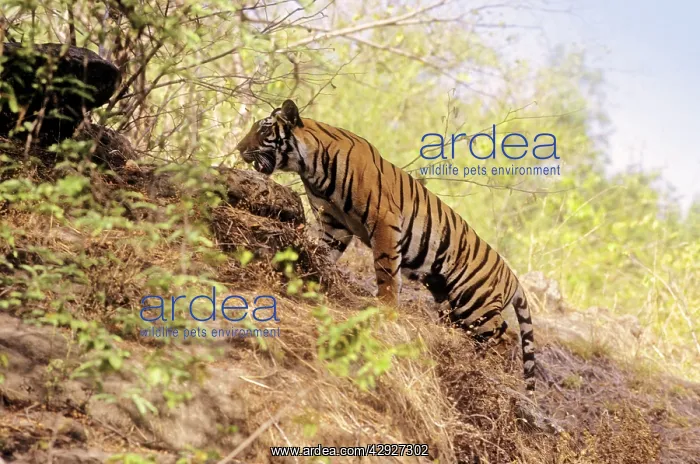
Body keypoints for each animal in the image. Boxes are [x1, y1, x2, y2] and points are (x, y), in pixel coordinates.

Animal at [235, 100, 536, 391]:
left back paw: (483, 365)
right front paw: (312, 271)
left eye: (263, 130)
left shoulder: (383, 221)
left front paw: (384, 307)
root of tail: (513, 277)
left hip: (474, 301)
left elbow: (386, 271)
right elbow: (324, 251)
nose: (238, 148)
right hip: (450, 301)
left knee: (506, 334)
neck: (310, 167)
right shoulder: (334, 224)